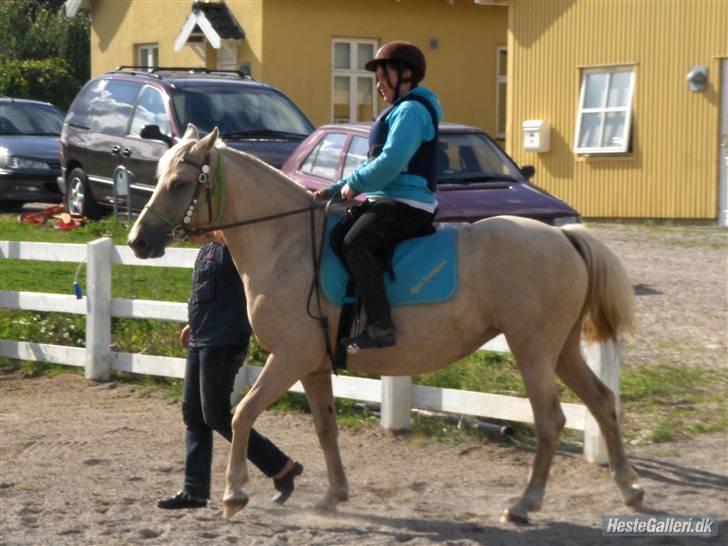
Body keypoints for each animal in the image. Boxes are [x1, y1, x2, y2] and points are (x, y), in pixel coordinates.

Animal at [129, 125, 644, 520]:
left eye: (179, 183)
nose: (137, 241)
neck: (287, 245)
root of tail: (564, 236)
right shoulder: (313, 364)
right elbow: (325, 428)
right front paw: (333, 496)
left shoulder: (289, 357)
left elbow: (241, 413)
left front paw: (234, 493)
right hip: (561, 350)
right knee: (602, 402)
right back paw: (630, 489)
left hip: (533, 351)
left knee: (551, 419)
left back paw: (525, 503)